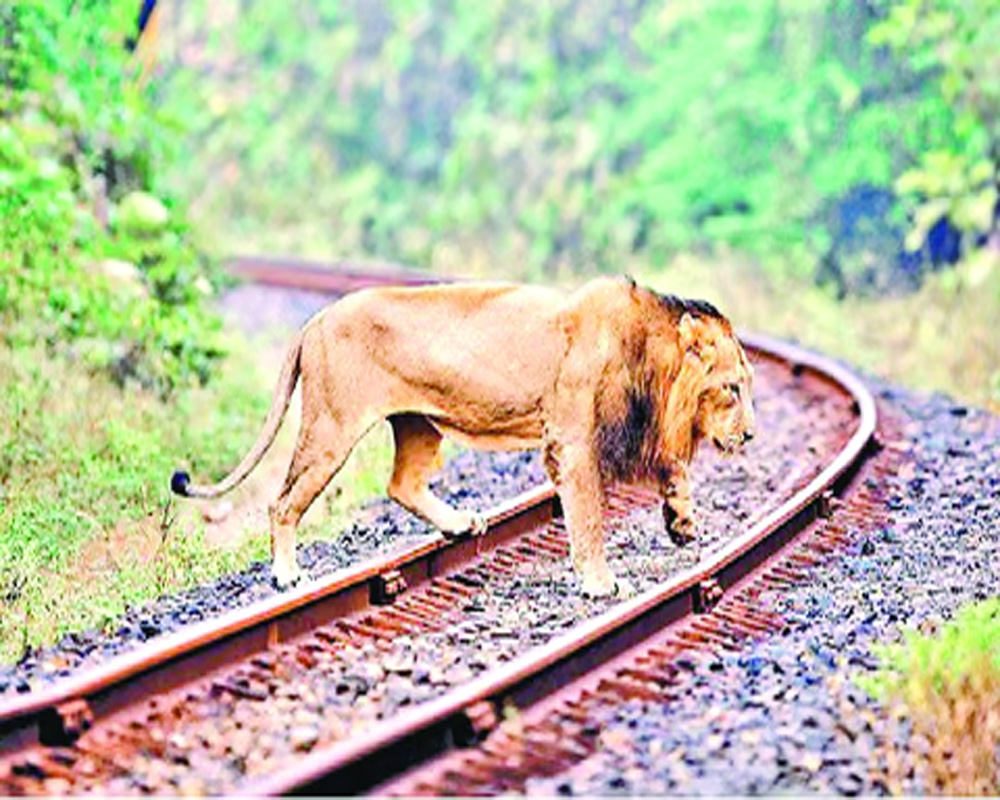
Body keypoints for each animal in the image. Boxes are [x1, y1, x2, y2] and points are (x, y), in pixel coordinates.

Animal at [171, 276, 755, 596]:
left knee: (401, 485)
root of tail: (314, 320)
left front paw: (682, 522)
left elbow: (674, 467)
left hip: (417, 424)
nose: (751, 436)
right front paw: (600, 582)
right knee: (283, 502)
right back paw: (287, 575)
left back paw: (460, 524)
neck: (649, 362)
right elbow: (588, 517)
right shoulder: (572, 443)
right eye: (732, 388)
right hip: (331, 428)